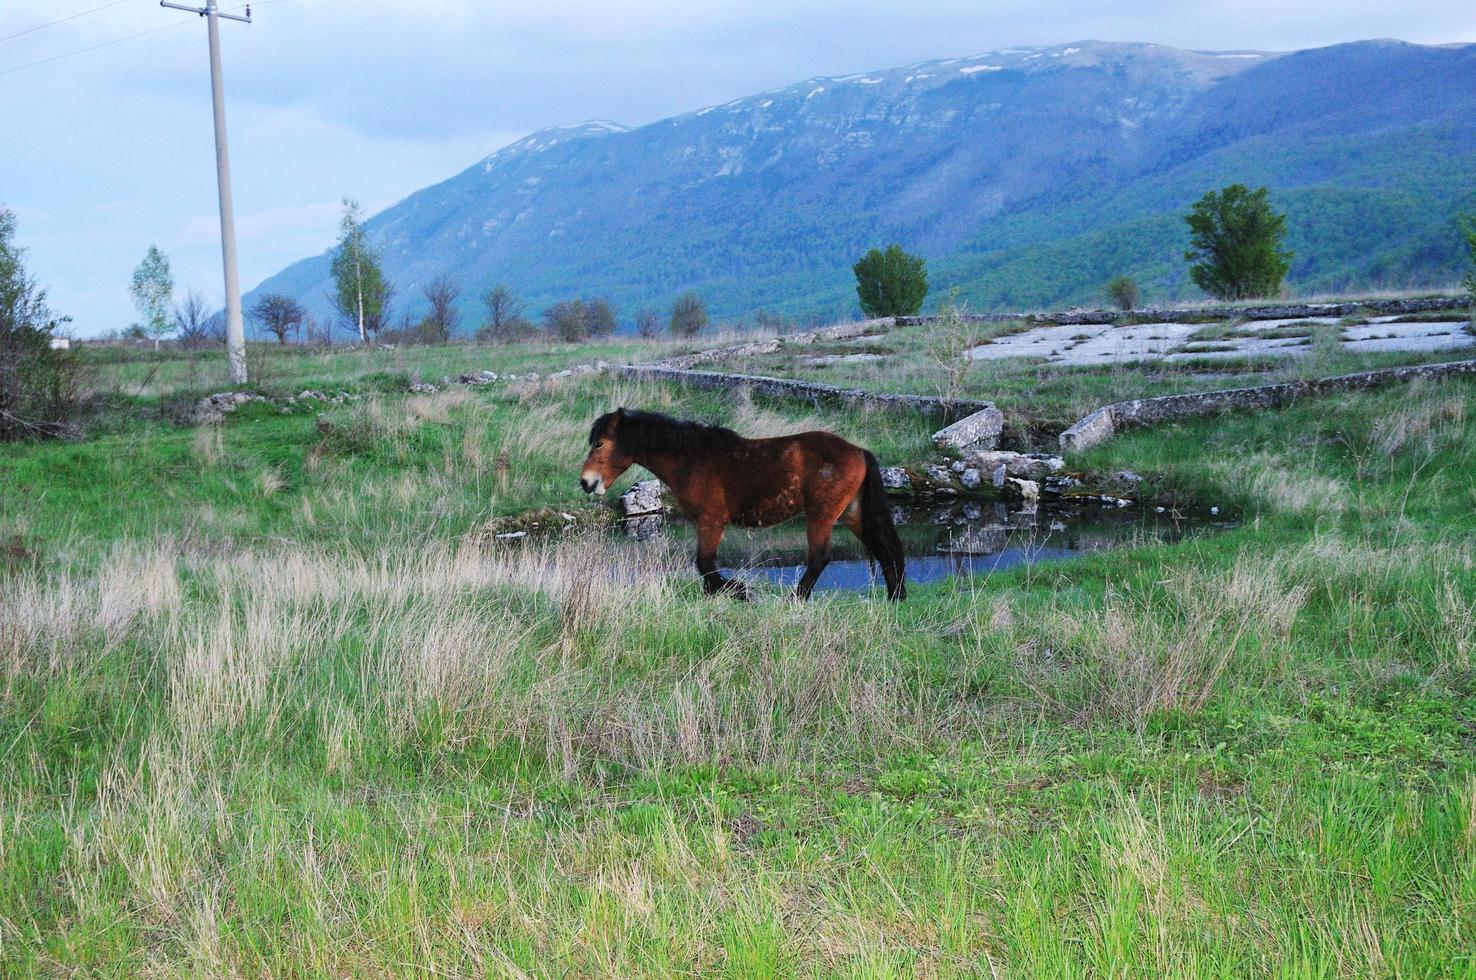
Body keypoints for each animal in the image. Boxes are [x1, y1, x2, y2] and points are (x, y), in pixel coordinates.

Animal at [581, 404, 903, 596]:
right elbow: (706, 567)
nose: (586, 482)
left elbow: (705, 563)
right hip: (850, 512)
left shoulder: (711, 521)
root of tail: (858, 450)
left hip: (821, 514)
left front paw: (740, 592)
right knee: (883, 549)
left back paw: (796, 599)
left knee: (820, 558)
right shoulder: (704, 523)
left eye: (600, 443)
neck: (692, 459)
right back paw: (894, 597)